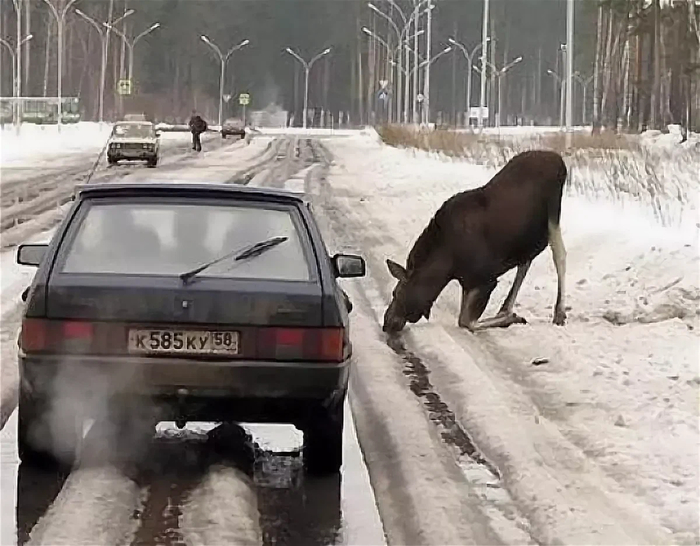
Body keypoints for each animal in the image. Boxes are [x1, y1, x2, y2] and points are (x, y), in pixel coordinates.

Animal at [382, 148, 568, 332]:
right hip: (527, 234)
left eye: (397, 293)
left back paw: (559, 312)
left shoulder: (486, 280)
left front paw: (511, 318)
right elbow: (463, 317)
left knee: (559, 255)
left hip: (553, 213)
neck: (447, 266)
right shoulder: (468, 282)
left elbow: (466, 321)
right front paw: (509, 316)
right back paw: (505, 308)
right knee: (526, 261)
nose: (386, 323)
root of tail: (559, 160)